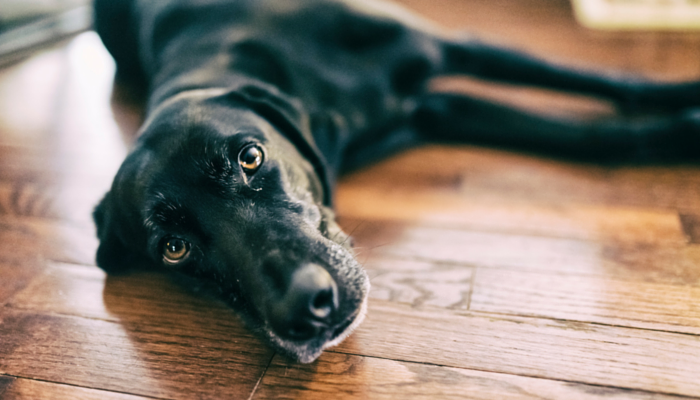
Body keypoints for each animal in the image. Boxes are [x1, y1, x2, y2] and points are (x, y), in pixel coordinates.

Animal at [91, 0, 700, 362]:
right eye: (173, 248)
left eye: (250, 156)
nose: (304, 306)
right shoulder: (438, 110)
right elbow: (588, 135)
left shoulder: (453, 50)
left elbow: (608, 83)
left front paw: (686, 102)